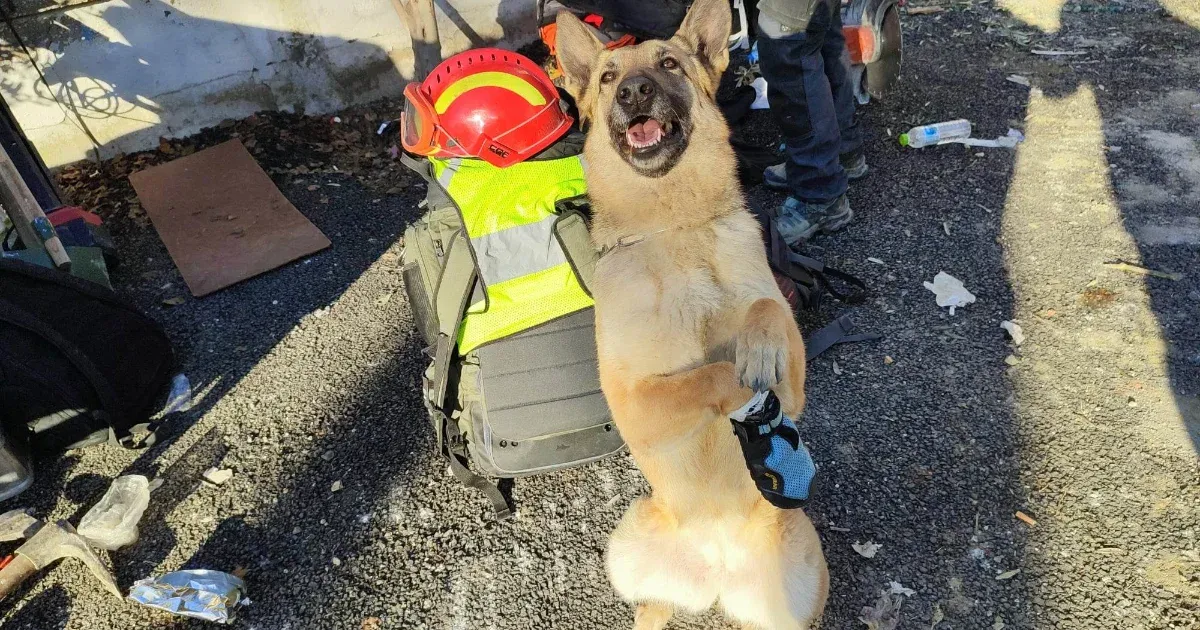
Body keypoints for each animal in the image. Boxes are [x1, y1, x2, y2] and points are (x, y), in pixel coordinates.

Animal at [556, 1, 830, 628]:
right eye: (607, 78)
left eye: (669, 64)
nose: (633, 90)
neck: (675, 226)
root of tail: (717, 574)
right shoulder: (635, 401)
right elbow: (708, 374)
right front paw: (740, 384)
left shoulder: (794, 387)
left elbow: (766, 307)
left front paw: (759, 350)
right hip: (627, 539)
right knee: (652, 606)